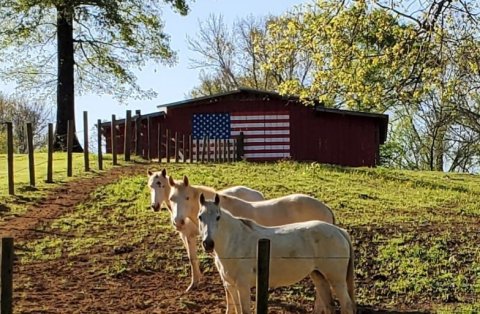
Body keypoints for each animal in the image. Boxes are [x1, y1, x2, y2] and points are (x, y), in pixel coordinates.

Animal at [199, 194, 356, 314]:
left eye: (218, 217)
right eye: (200, 217)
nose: (208, 243)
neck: (234, 241)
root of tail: (339, 231)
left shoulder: (242, 285)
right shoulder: (230, 285)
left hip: (336, 280)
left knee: (347, 306)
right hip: (319, 276)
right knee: (329, 305)